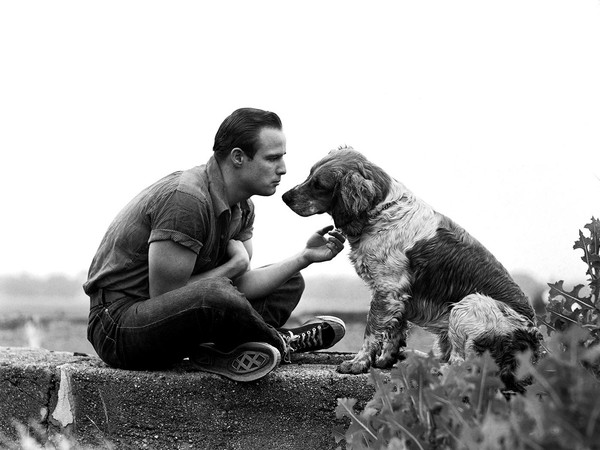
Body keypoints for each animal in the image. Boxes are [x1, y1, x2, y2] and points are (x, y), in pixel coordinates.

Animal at [282, 147, 544, 390]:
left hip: (469, 304)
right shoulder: (397, 295)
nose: (284, 196)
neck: (383, 210)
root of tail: (531, 347)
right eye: (309, 175)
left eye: (319, 184)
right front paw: (385, 360)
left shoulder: (387, 290)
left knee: (460, 365)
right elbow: (394, 332)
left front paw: (358, 363)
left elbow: (372, 332)